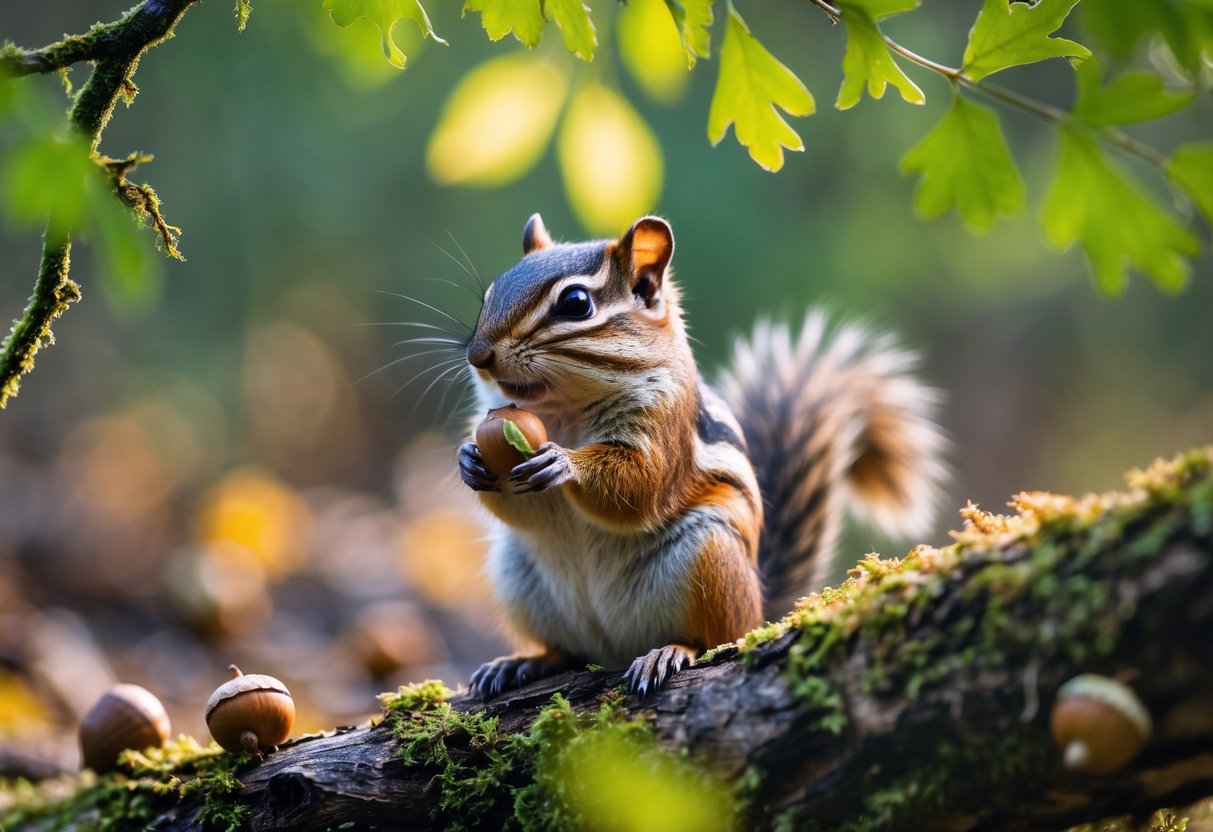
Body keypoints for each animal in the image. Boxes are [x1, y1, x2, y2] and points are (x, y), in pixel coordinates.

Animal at [456, 213, 946, 697]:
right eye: (490, 293)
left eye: (576, 303)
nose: (478, 355)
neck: (562, 411)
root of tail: (759, 603)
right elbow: (526, 511)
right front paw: (470, 461)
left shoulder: (664, 423)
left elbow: (640, 486)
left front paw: (564, 463)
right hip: (518, 577)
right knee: (568, 650)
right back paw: (523, 662)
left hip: (710, 558)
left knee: (715, 638)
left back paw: (669, 652)